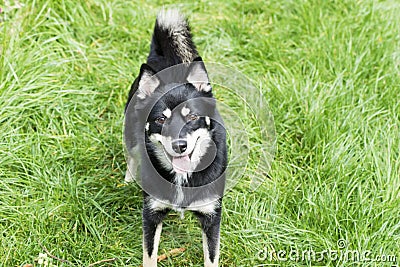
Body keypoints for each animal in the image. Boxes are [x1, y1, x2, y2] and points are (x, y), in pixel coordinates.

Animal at [122, 8, 228, 267]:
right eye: (161, 119)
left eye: (192, 117)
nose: (180, 145)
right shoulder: (152, 214)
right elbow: (149, 255)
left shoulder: (212, 218)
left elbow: (211, 257)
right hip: (130, 132)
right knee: (131, 153)